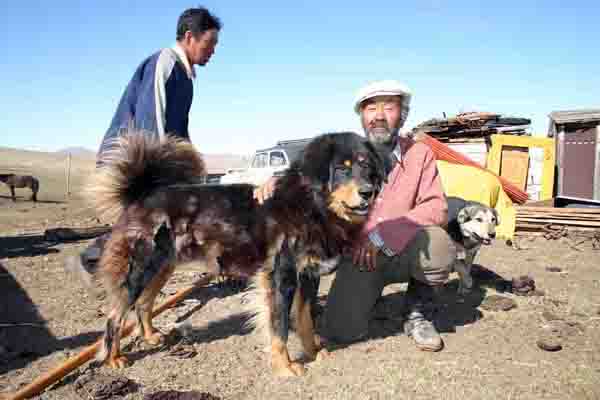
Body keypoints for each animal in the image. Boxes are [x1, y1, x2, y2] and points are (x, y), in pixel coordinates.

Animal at [91, 131, 386, 376]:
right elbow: (279, 327)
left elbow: (304, 320)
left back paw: (151, 336)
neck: (312, 205)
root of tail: (140, 195)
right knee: (116, 315)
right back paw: (113, 357)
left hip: (162, 266)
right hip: (139, 269)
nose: (368, 193)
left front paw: (312, 351)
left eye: (366, 167)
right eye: (341, 169)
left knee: (143, 304)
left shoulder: (307, 276)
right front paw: (285, 366)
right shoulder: (282, 276)